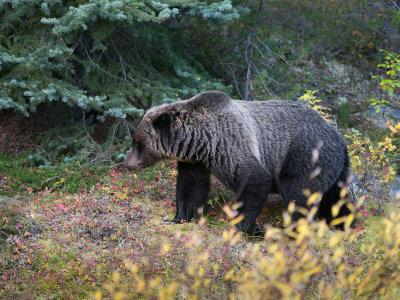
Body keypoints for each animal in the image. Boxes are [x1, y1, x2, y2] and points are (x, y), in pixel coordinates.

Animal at [123, 91, 352, 234]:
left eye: (137, 142)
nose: (127, 164)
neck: (202, 140)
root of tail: (341, 140)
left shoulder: (229, 143)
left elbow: (254, 179)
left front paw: (245, 226)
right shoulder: (194, 160)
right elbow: (191, 187)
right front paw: (180, 217)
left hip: (306, 155)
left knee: (298, 193)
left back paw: (291, 229)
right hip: (335, 169)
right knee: (336, 199)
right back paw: (344, 224)